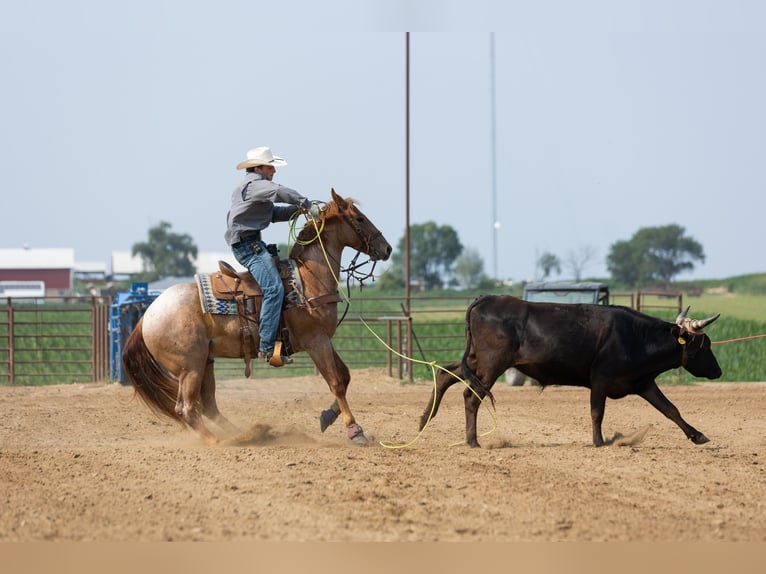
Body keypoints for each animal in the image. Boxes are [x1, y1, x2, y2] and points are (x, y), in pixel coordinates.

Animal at [122, 189, 392, 445]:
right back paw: (223, 441)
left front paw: (327, 417)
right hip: (190, 367)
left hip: (205, 361)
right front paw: (355, 431)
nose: (387, 248)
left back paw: (248, 433)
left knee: (208, 406)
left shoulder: (322, 339)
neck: (308, 279)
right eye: (360, 218)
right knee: (187, 409)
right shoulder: (316, 340)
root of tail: (147, 316)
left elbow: (345, 375)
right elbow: (336, 382)